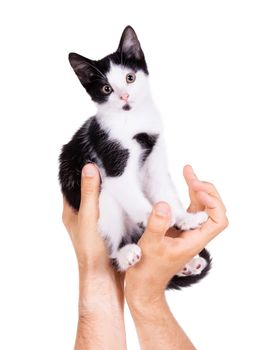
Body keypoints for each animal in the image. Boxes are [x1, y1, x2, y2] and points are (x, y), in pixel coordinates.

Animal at [59, 26, 211, 290]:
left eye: (130, 78)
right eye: (106, 89)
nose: (124, 96)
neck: (132, 120)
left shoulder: (156, 159)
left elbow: (165, 190)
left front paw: (184, 219)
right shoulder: (113, 163)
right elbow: (132, 194)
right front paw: (156, 218)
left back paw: (188, 265)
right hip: (102, 199)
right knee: (112, 252)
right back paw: (124, 254)